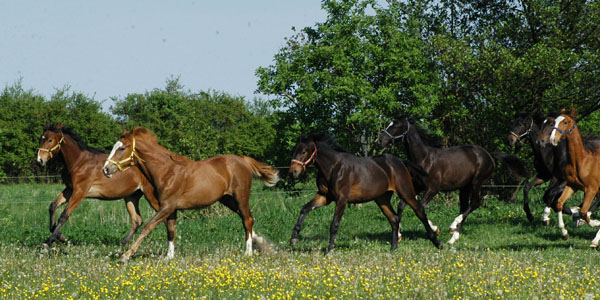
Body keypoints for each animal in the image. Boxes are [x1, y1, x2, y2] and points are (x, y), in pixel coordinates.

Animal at [102, 126, 280, 262]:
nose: (105, 169)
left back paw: (248, 252)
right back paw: (260, 244)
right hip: (227, 200)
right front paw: (169, 257)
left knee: (247, 220)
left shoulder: (167, 207)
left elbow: (148, 227)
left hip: (241, 197)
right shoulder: (171, 209)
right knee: (248, 219)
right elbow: (171, 230)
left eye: (122, 148)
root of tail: (243, 160)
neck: (166, 172)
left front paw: (125, 256)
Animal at [286, 134, 440, 253]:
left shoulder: (342, 199)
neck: (334, 167)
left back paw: (437, 243)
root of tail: (400, 161)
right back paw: (394, 248)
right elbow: (305, 209)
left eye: (304, 151)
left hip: (406, 193)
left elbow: (334, 224)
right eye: (294, 150)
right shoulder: (325, 197)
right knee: (394, 219)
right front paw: (293, 239)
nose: (293, 172)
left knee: (420, 212)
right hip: (382, 199)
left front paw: (329, 251)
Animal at [380, 116, 496, 245]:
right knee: (465, 207)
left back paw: (453, 225)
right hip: (464, 188)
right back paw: (453, 237)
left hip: (476, 182)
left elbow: (420, 206)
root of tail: (489, 155)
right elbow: (402, 205)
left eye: (395, 126)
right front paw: (399, 235)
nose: (380, 140)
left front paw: (434, 229)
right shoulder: (417, 187)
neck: (424, 159)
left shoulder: (433, 189)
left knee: (476, 202)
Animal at [536, 109, 600, 245]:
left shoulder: (591, 189)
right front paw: (564, 233)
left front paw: (594, 222)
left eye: (565, 122)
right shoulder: (572, 186)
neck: (581, 161)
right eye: (554, 122)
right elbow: (559, 203)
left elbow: (583, 212)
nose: (552, 139)